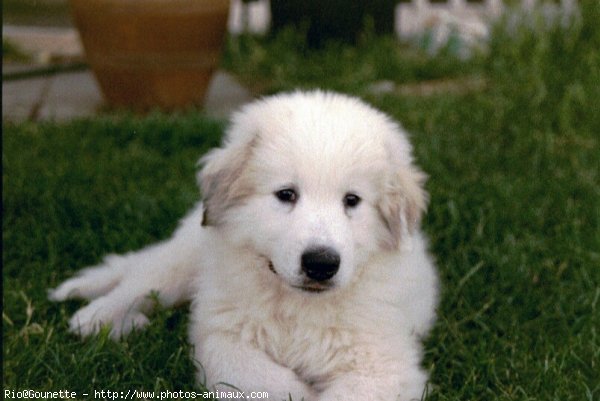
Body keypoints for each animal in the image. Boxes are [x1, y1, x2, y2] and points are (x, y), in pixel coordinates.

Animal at [49, 91, 438, 400]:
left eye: (352, 200)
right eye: (286, 194)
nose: (320, 263)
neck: (298, 304)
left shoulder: (382, 365)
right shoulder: (224, 337)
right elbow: (263, 380)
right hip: (183, 260)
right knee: (140, 281)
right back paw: (96, 318)